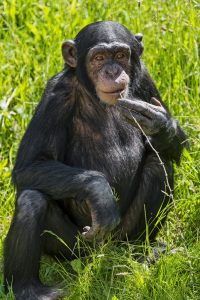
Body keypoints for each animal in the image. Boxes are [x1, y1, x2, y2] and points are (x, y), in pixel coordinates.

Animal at [3, 21, 187, 300]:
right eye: (99, 58)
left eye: (120, 55)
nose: (112, 70)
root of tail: (103, 253)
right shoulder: (55, 95)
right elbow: (29, 165)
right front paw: (99, 192)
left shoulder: (146, 80)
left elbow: (176, 148)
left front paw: (159, 123)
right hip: (76, 249)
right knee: (31, 200)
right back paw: (28, 289)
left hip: (122, 235)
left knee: (159, 165)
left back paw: (141, 255)